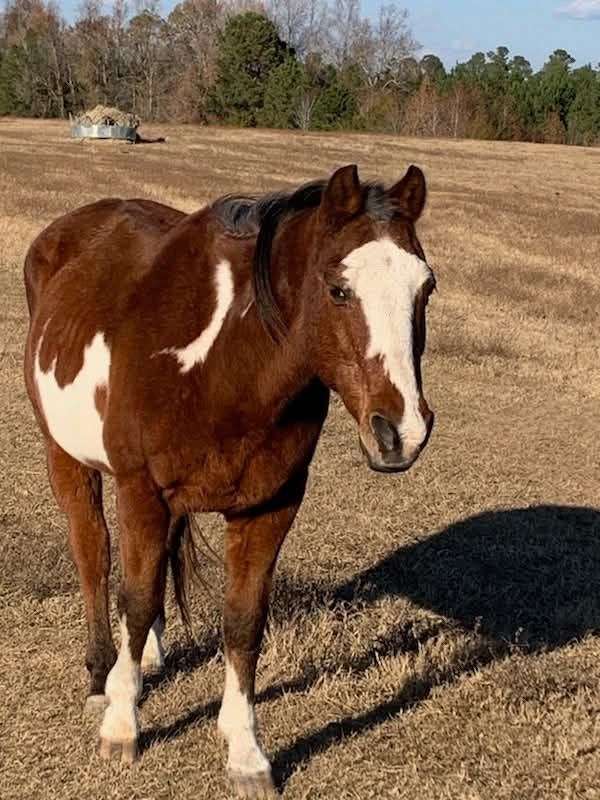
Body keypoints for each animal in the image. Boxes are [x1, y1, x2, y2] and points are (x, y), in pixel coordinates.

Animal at [24, 161, 436, 792]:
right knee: (93, 556)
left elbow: (243, 622)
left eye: (426, 287)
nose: (403, 432)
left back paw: (143, 658)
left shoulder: (270, 505)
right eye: (339, 289)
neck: (224, 363)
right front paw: (121, 727)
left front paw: (245, 754)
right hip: (65, 456)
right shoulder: (140, 489)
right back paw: (102, 677)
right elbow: (135, 596)